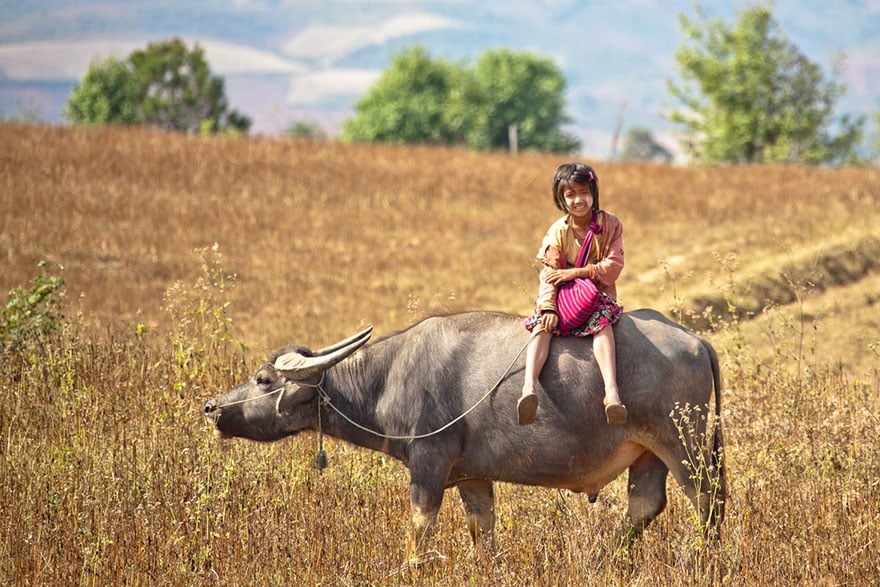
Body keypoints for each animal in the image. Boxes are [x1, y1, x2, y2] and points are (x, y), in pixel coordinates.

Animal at [203, 310, 724, 552]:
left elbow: (418, 535)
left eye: (263, 379)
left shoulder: (429, 467)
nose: (211, 407)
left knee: (708, 503)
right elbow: (483, 537)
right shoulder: (474, 478)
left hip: (686, 447)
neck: (391, 376)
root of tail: (697, 341)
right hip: (647, 453)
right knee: (644, 506)